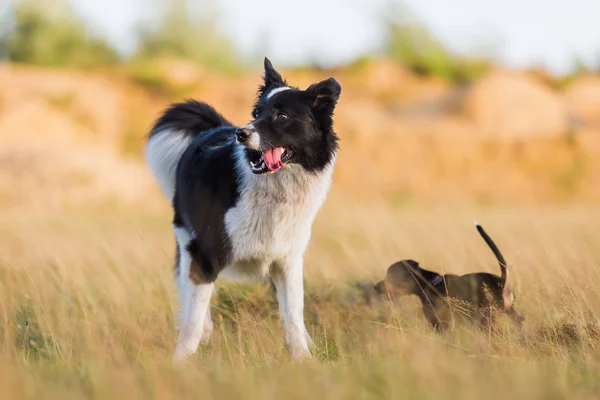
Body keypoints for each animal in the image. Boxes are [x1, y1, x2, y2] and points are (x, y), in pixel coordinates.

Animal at [144, 57, 342, 360]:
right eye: (256, 112)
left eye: (282, 116)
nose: (241, 133)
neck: (273, 188)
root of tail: (215, 127)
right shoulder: (204, 255)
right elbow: (193, 320)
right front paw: (181, 361)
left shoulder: (287, 260)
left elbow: (294, 316)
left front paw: (304, 359)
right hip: (185, 240)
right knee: (188, 292)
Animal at [372, 222, 524, 332]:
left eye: (390, 275)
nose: (375, 286)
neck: (429, 284)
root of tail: (501, 282)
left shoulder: (439, 324)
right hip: (510, 314)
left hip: (486, 320)